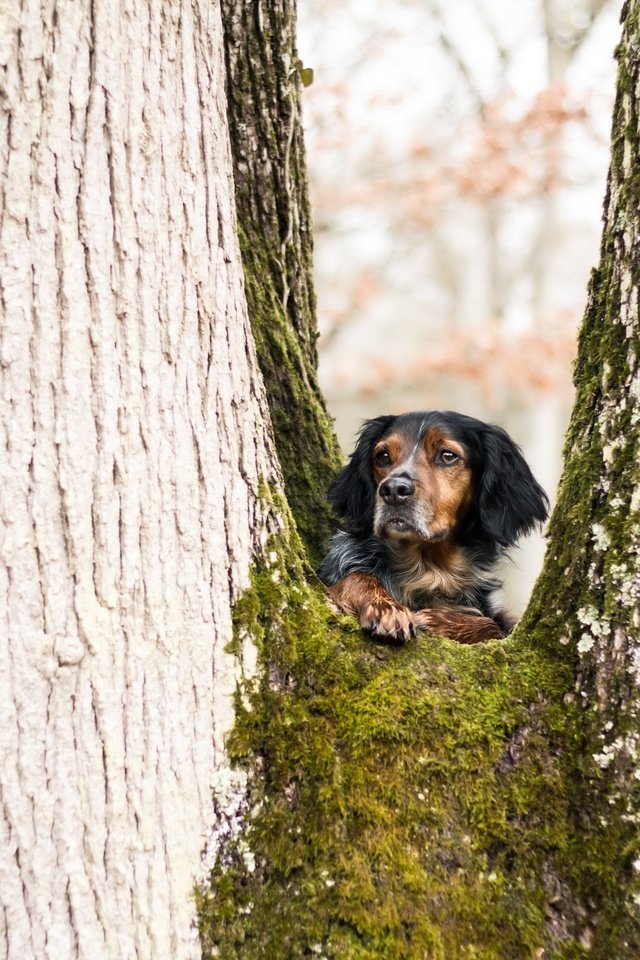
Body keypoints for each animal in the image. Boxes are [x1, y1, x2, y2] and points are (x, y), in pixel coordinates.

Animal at [318, 412, 548, 644]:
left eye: (447, 455)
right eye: (382, 456)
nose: (393, 490)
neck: (428, 570)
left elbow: (492, 626)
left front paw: (436, 620)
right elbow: (357, 577)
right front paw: (385, 608)